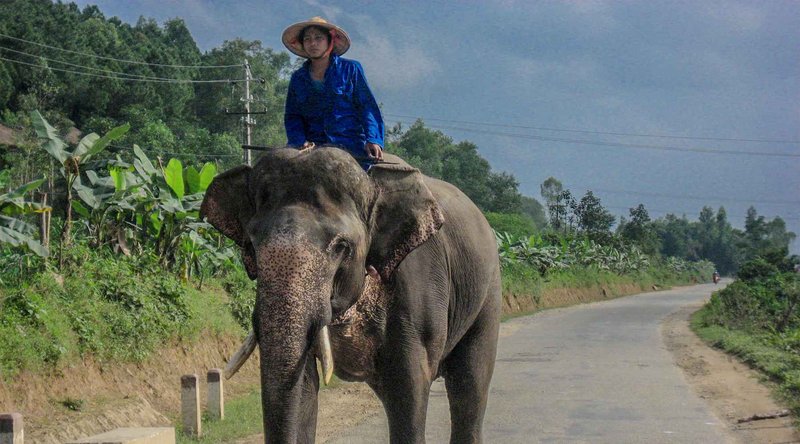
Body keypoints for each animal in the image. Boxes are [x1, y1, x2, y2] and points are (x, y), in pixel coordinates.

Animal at [200, 147, 501, 443]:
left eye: (341, 246)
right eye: (250, 246)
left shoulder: (417, 287)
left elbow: (410, 386)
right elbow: (304, 386)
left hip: (488, 295)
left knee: (469, 387)